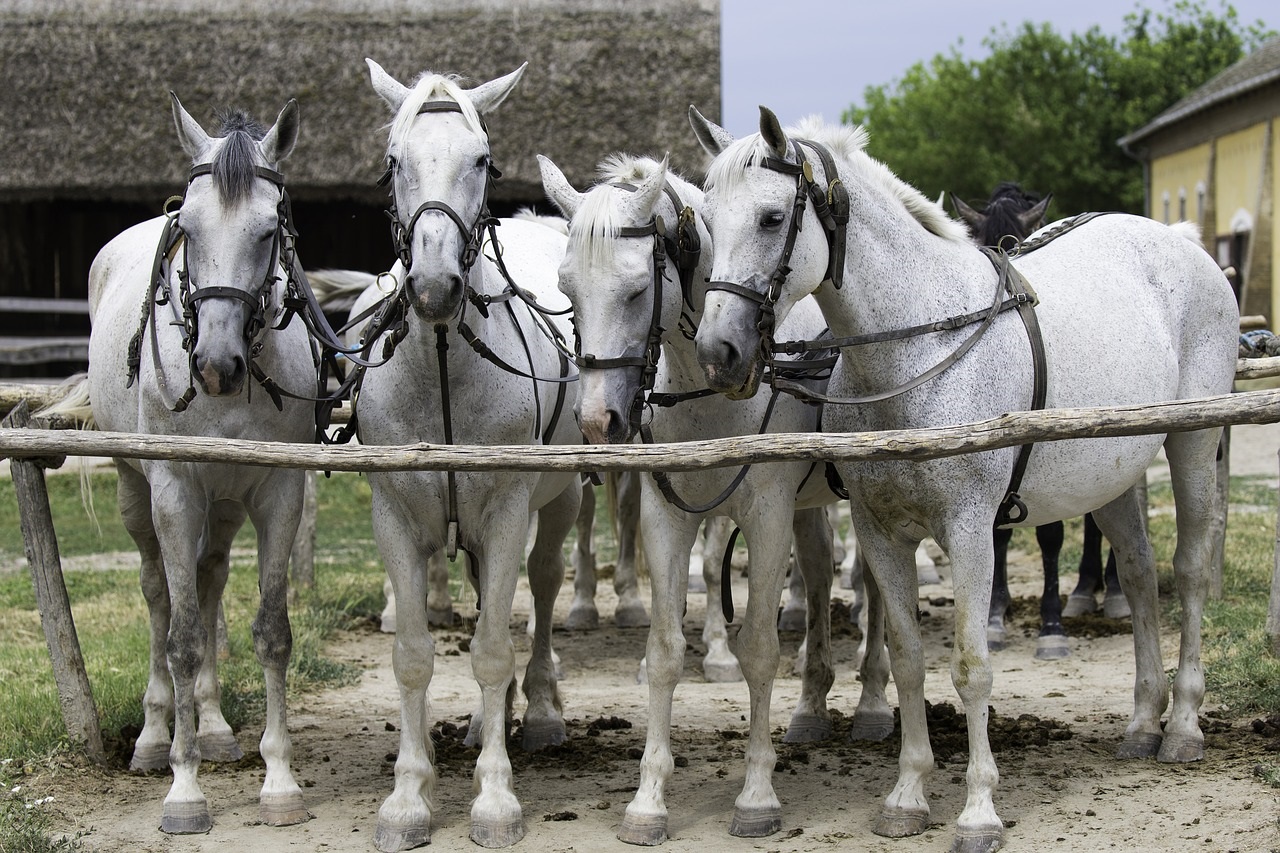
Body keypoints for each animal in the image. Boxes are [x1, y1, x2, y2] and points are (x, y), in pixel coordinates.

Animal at [85, 94, 314, 829]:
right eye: (186, 227)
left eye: (269, 231)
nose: (216, 366)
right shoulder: (176, 490)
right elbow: (182, 636)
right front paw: (183, 790)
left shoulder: (277, 491)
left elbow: (270, 631)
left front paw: (279, 781)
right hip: (140, 496)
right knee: (160, 592)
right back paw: (158, 736)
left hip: (226, 501)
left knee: (209, 579)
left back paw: (211, 727)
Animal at [358, 58, 583, 845]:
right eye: (394, 160)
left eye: (480, 159)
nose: (433, 287)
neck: (442, 363)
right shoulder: (395, 516)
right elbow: (413, 655)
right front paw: (408, 794)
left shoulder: (509, 508)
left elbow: (490, 648)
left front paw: (494, 796)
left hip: (562, 498)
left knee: (540, 588)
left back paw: (536, 713)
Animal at [540, 151, 890, 835]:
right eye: (568, 292)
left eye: (636, 290)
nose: (597, 422)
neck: (709, 391)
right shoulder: (667, 517)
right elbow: (664, 651)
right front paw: (648, 800)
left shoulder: (763, 516)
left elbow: (758, 649)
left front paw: (757, 795)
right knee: (817, 572)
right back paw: (811, 709)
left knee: (876, 589)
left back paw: (871, 703)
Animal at [957, 183, 1126, 655]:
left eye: (1012, 248)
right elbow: (997, 533)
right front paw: (995, 614)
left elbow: (1050, 536)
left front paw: (1051, 624)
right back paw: (1086, 588)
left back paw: (1108, 591)